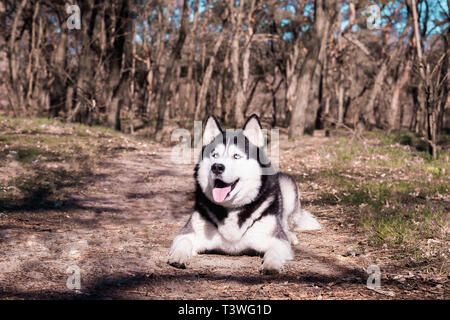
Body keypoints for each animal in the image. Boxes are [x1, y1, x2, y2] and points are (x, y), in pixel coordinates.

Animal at [168, 114, 320, 274]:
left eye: (236, 156)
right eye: (214, 155)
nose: (217, 167)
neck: (231, 209)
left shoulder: (277, 240)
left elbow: (275, 250)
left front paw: (271, 264)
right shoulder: (188, 233)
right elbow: (183, 241)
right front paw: (179, 256)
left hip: (287, 185)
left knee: (285, 223)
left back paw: (290, 235)